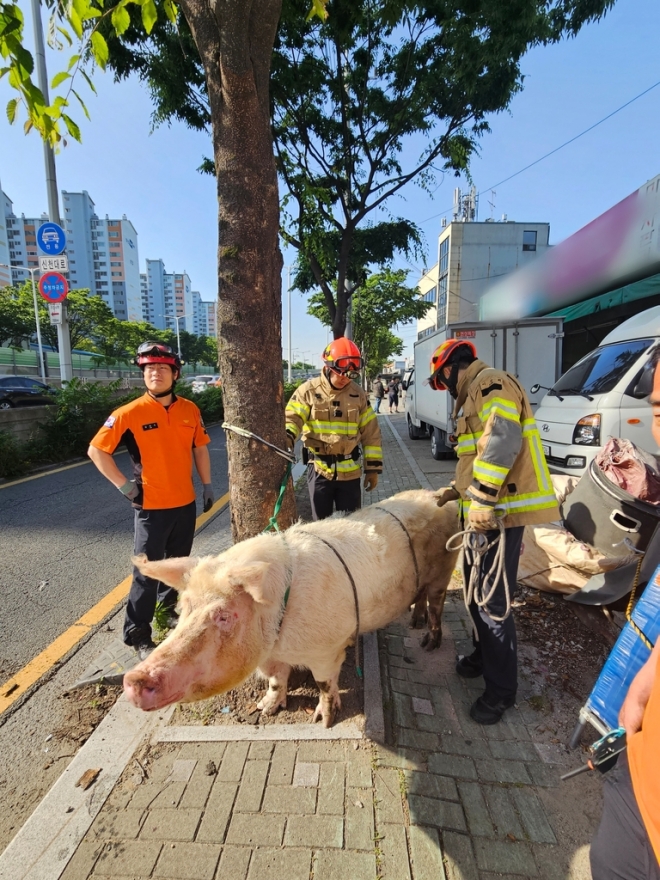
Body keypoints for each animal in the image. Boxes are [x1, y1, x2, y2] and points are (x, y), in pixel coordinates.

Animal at [122, 488, 458, 728]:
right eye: (183, 609)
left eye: (224, 615)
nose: (134, 679)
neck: (279, 634)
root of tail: (437, 496)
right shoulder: (270, 655)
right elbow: (275, 679)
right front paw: (265, 710)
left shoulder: (326, 649)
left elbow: (324, 683)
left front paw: (324, 721)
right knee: (421, 597)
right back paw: (413, 623)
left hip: (444, 568)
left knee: (437, 602)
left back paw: (428, 643)